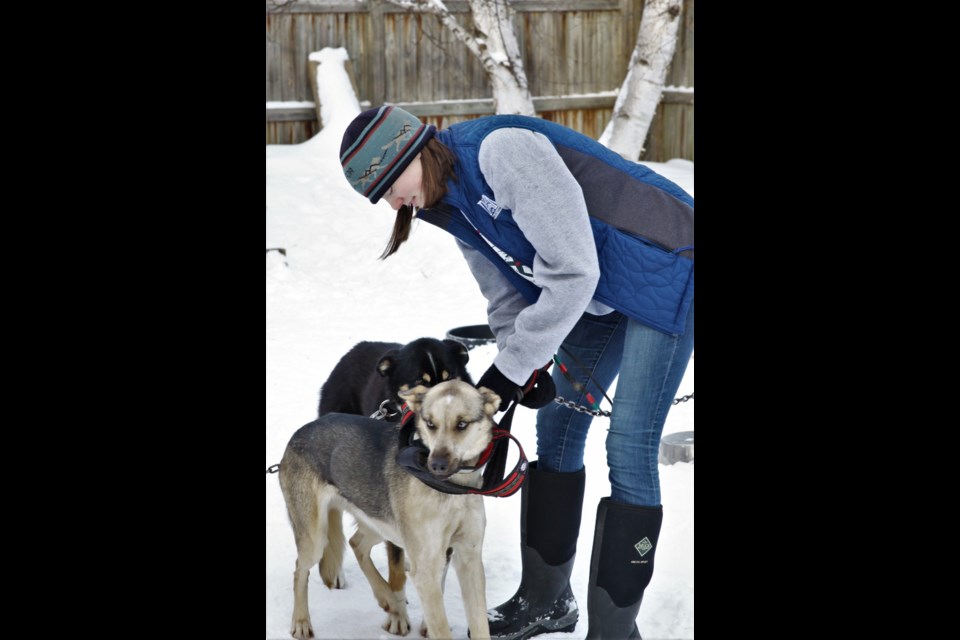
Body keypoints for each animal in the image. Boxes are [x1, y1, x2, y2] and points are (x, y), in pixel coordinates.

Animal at [278, 380, 498, 640]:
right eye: (430, 423)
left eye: (462, 424)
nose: (436, 465)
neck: (450, 489)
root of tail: (299, 432)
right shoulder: (426, 568)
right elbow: (440, 627)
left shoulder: (469, 559)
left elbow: (479, 624)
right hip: (316, 539)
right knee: (300, 570)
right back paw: (302, 621)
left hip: (382, 524)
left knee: (357, 544)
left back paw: (388, 600)